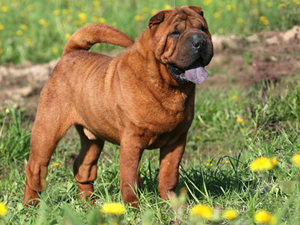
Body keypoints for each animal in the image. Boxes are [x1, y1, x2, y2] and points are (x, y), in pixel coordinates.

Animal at [23, 5, 213, 206]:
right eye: (175, 33)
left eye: (203, 29)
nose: (200, 42)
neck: (168, 87)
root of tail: (69, 53)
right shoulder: (132, 141)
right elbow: (129, 180)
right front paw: (133, 208)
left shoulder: (176, 141)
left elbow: (168, 176)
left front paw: (173, 204)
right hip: (47, 132)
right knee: (35, 169)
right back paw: (30, 206)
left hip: (93, 139)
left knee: (83, 167)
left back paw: (89, 204)